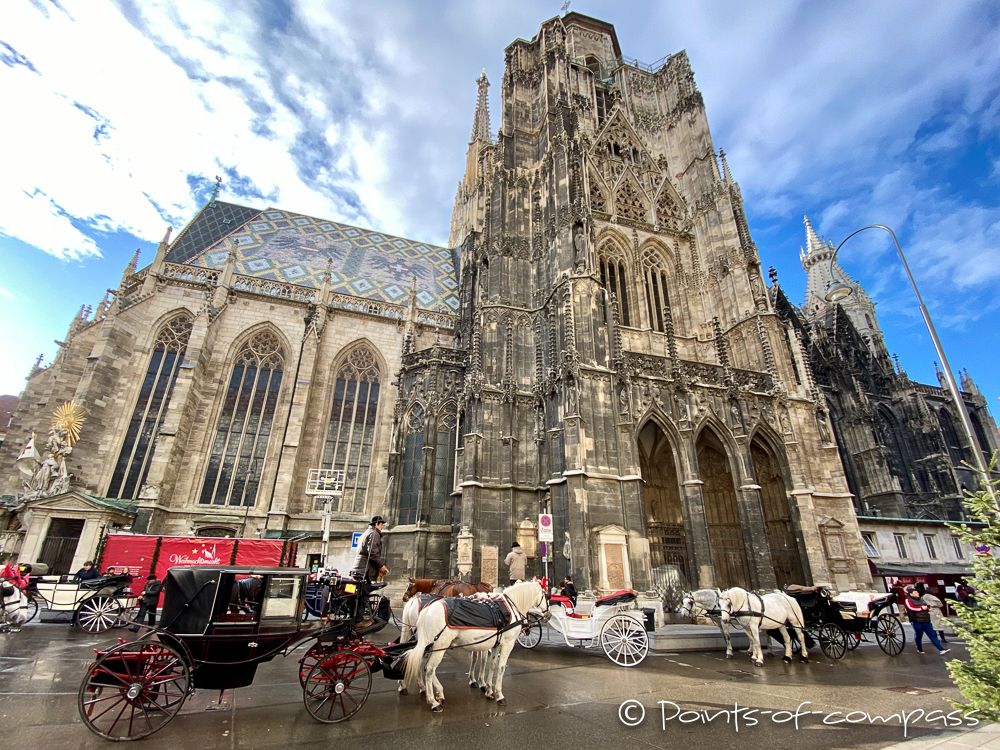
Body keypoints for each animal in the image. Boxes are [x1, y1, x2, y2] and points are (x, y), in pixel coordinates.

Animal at [404, 580, 552, 712]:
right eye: (546, 596)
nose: (549, 615)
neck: (511, 607)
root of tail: (427, 608)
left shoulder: (496, 643)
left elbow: (491, 664)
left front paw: (489, 690)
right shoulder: (507, 644)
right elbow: (501, 667)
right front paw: (499, 694)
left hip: (429, 645)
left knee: (421, 664)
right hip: (439, 646)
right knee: (429, 669)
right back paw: (434, 702)